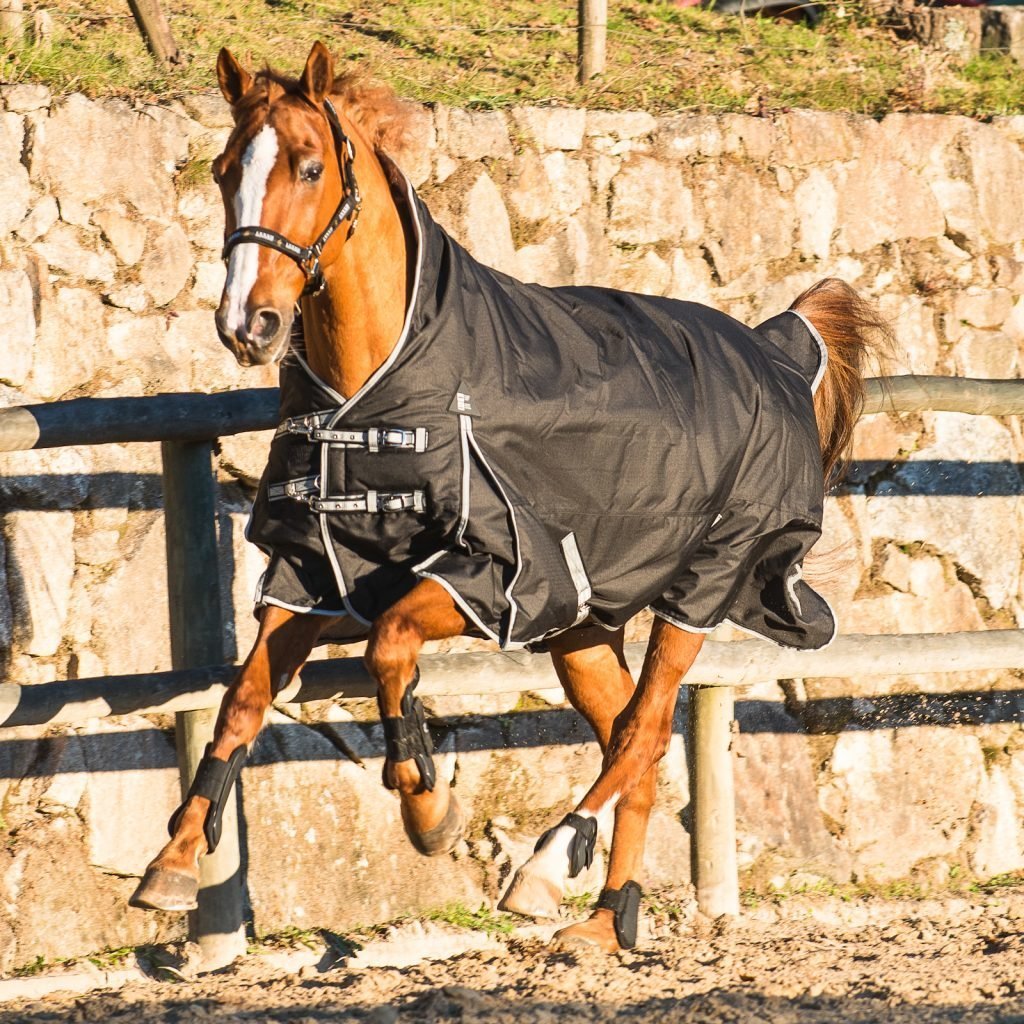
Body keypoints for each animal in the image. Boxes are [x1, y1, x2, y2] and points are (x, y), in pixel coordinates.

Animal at [132, 39, 888, 950]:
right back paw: (603, 921)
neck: (386, 387)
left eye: (310, 167)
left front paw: (428, 808)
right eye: (222, 171)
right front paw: (173, 861)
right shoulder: (312, 569)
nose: (250, 325)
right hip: (586, 626)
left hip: (701, 586)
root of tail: (776, 352)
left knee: (642, 729)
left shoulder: (491, 579)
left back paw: (546, 866)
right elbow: (242, 700)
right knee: (634, 741)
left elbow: (388, 647)